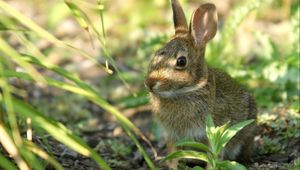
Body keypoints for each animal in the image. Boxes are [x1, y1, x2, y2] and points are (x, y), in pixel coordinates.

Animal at [144, 0, 256, 167]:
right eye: (156, 53)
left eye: (181, 61)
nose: (149, 83)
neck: (187, 90)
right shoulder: (171, 135)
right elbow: (173, 155)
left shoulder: (214, 131)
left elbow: (213, 154)